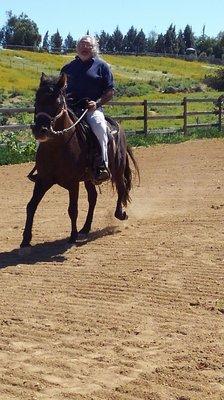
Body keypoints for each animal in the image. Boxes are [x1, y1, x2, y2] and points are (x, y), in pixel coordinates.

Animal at [20, 71, 139, 247]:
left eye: (57, 102)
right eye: (37, 99)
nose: (40, 130)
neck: (57, 148)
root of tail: (117, 126)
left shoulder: (73, 183)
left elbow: (73, 209)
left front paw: (72, 236)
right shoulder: (43, 180)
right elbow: (31, 206)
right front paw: (25, 240)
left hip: (117, 170)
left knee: (121, 187)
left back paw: (120, 213)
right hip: (90, 178)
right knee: (93, 198)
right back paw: (86, 228)